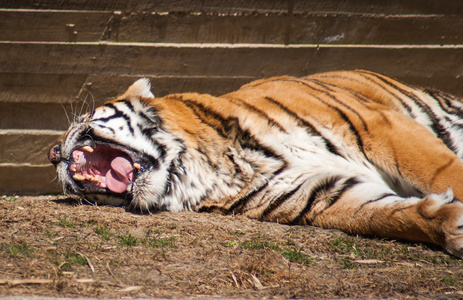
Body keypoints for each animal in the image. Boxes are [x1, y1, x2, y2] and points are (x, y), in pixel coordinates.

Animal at [48, 71, 463, 258]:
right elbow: (390, 216)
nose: (52, 152)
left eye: (82, 119)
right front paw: (451, 226)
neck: (212, 169)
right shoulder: (321, 194)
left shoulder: (380, 126)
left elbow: (443, 172)